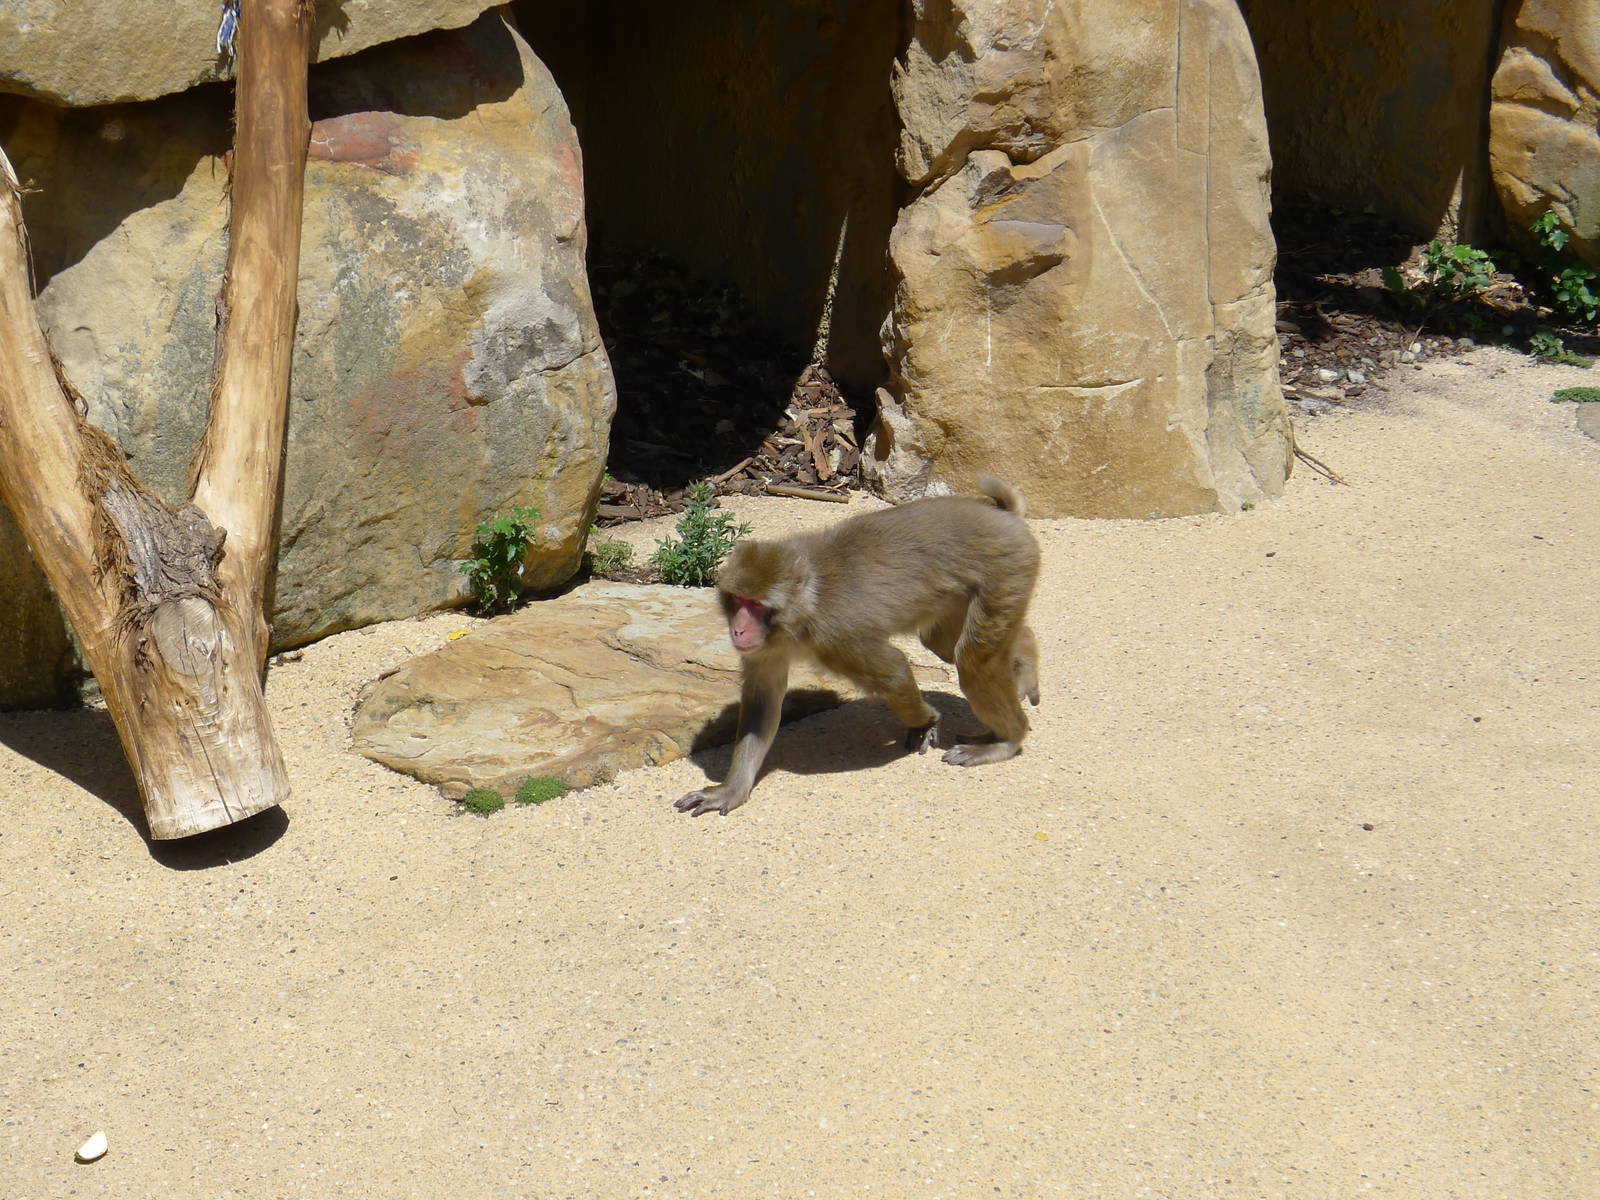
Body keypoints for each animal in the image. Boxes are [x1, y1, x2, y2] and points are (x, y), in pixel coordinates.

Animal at [675, 477, 1041, 816]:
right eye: (737, 600)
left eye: (756, 605)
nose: (737, 629)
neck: (804, 608)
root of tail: (1001, 515)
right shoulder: (766, 646)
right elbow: (762, 701)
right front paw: (731, 790)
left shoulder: (837, 636)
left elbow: (894, 673)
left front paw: (926, 721)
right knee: (946, 644)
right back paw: (1025, 658)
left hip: (1006, 569)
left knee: (973, 659)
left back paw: (1008, 739)